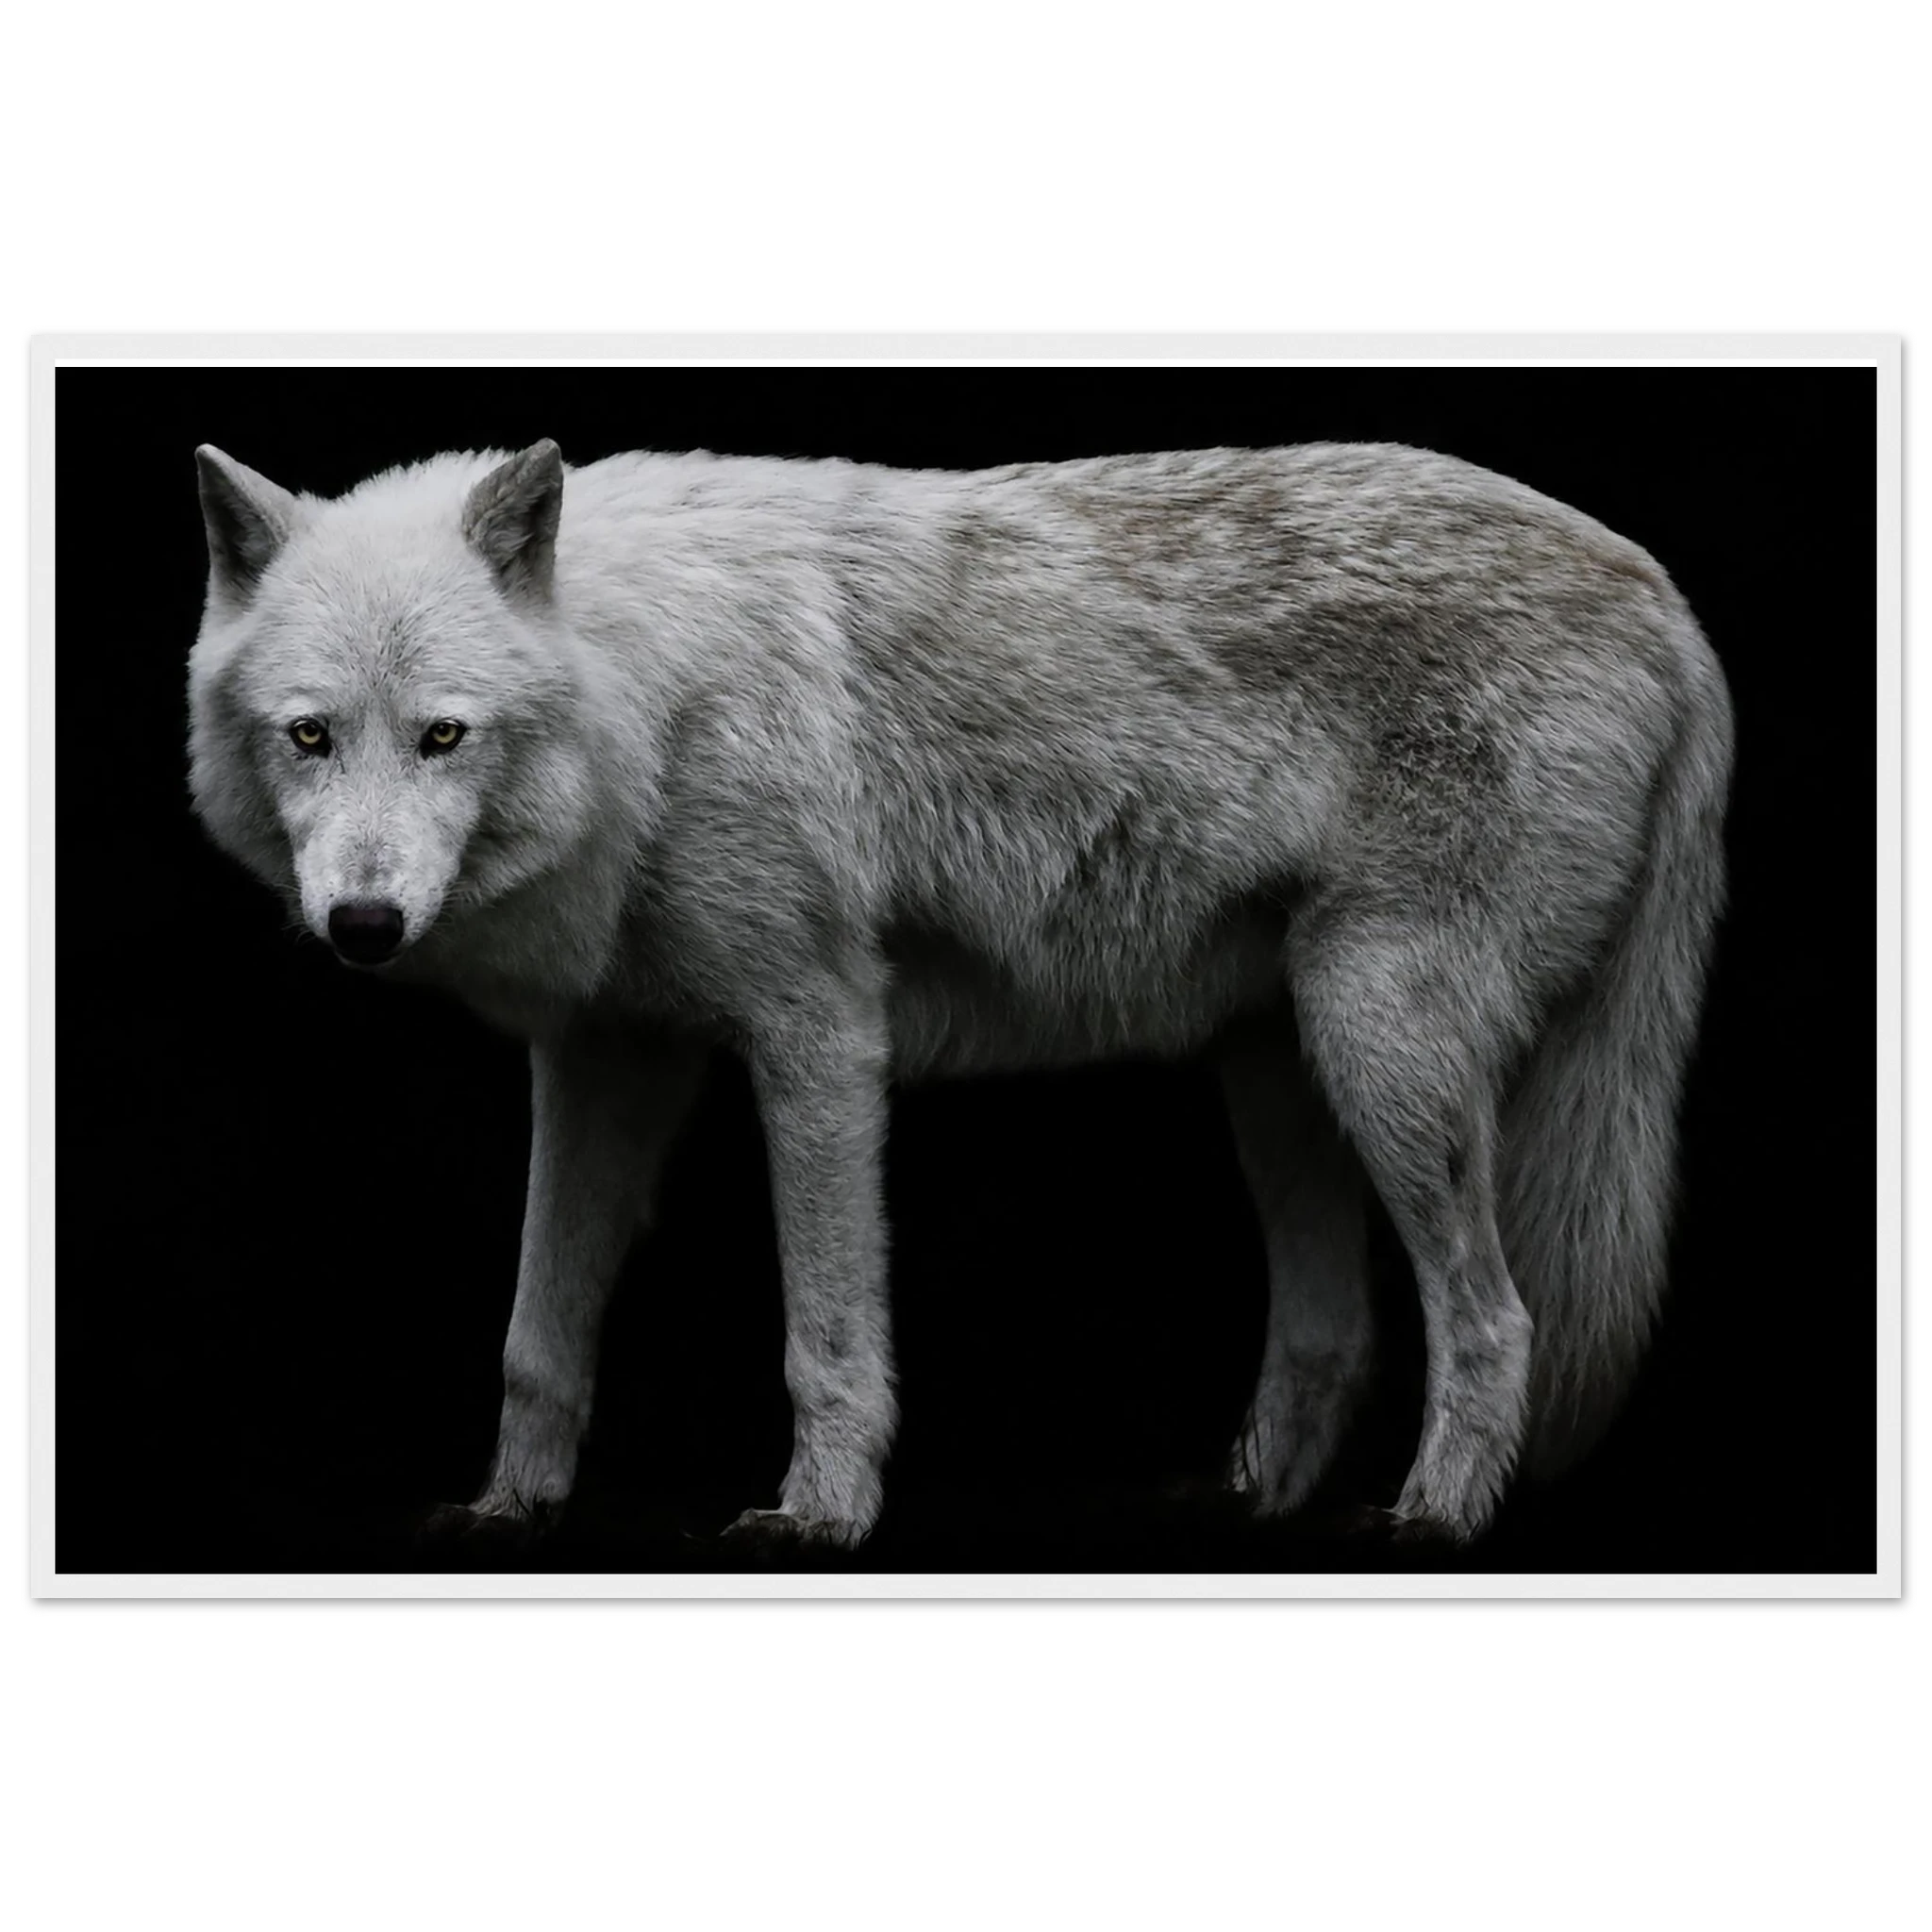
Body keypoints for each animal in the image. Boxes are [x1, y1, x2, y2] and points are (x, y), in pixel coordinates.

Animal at [188, 436, 1733, 1550]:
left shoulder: (816, 1032)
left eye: (444, 736)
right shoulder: (600, 1059)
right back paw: (1251, 1500)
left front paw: (817, 1517)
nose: (364, 923)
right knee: (1333, 1332)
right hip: (1278, 1067)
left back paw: (1431, 1521)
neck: (646, 702)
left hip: (1381, 1046)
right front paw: (510, 1508)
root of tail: (1663, 592)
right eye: (310, 737)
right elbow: (533, 1334)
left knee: (1495, 1317)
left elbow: (825, 1333)